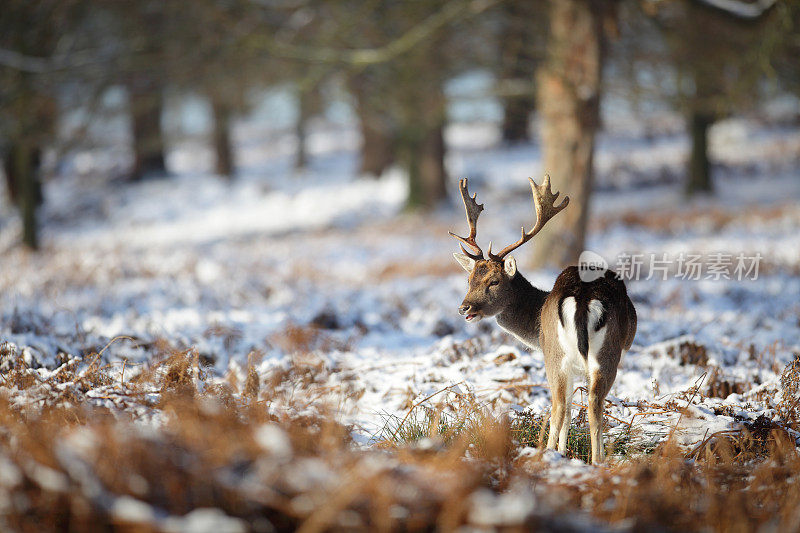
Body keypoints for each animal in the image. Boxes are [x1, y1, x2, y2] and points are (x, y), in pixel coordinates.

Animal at [454, 176, 636, 462]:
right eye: (469, 279)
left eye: (493, 281)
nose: (464, 307)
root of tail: (583, 297)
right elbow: (572, 409)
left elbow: (569, 409)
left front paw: (561, 452)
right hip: (595, 355)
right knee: (584, 403)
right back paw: (590, 460)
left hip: (562, 355)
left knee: (567, 403)